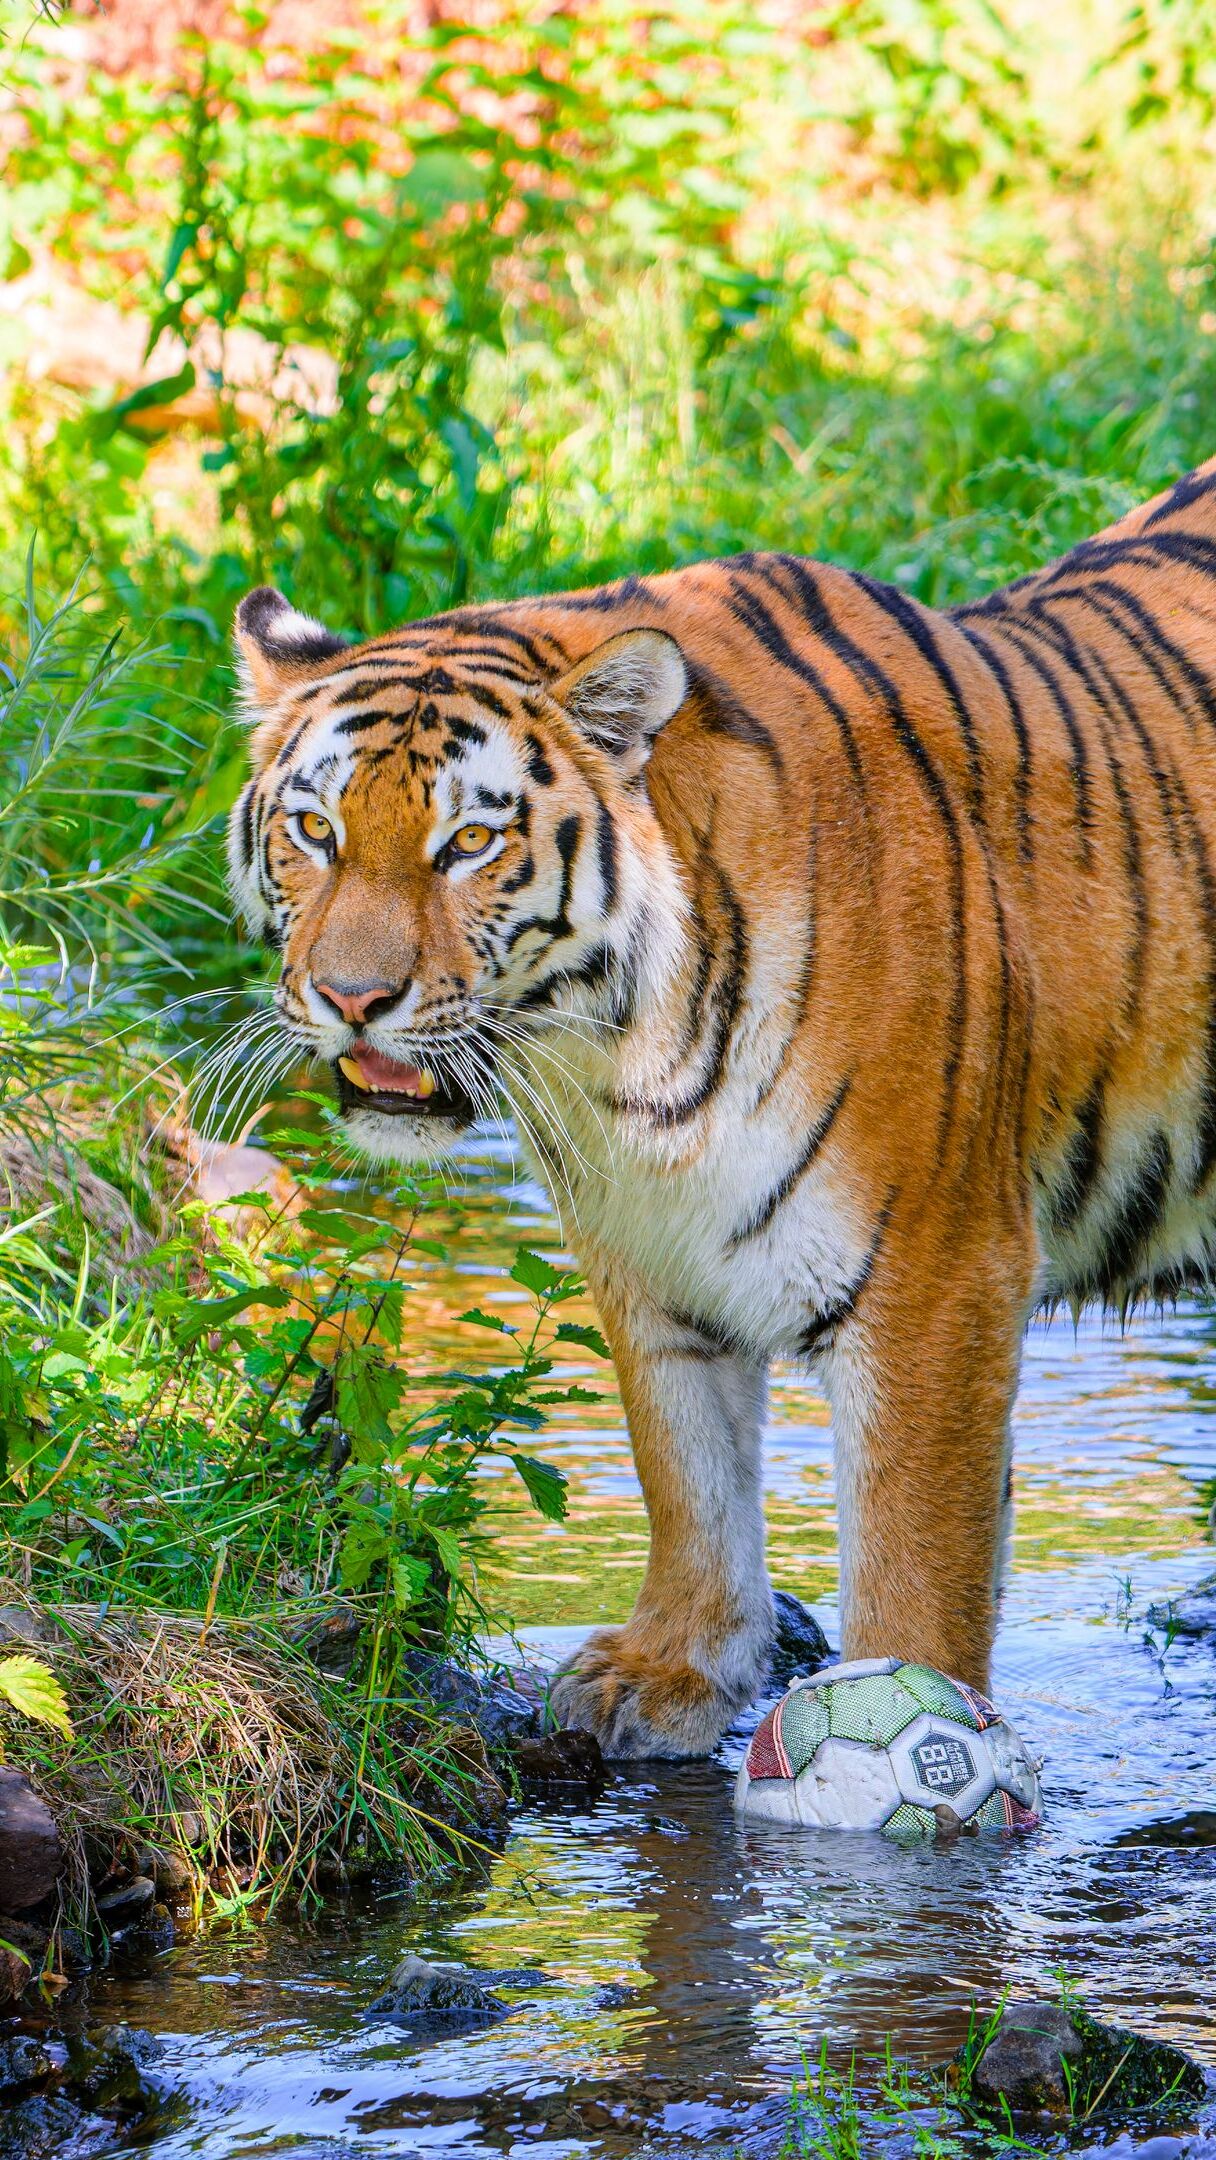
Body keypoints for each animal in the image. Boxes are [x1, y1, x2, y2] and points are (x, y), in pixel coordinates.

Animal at [228, 455, 1216, 1753]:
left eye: (470, 843)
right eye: (315, 829)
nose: (352, 998)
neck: (620, 1070)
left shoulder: (937, 1275)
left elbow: (914, 1556)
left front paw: (905, 1717)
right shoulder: (650, 1256)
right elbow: (685, 1471)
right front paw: (672, 1671)